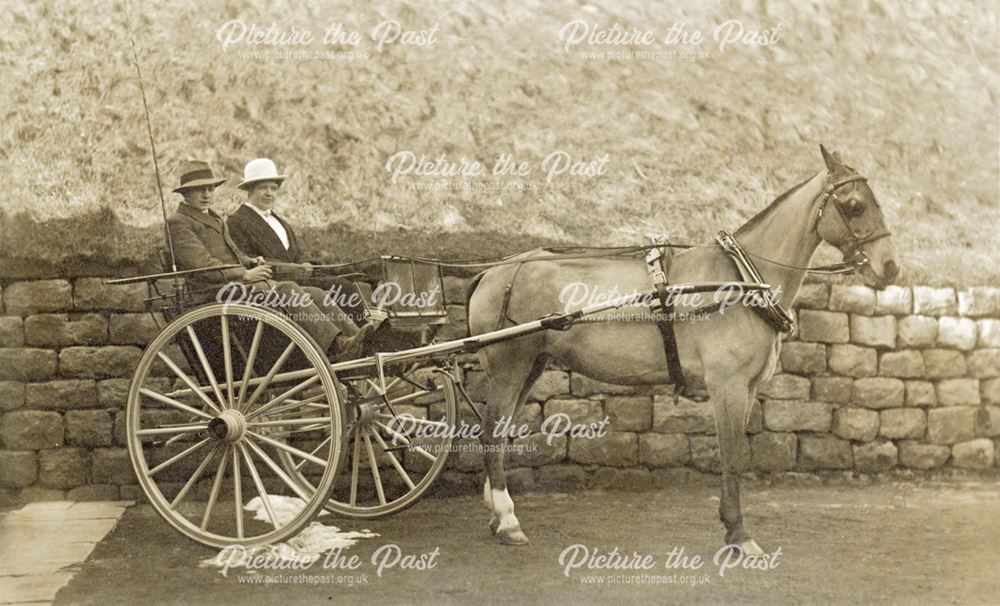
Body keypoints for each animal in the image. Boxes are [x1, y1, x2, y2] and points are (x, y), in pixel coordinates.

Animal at [466, 146, 900, 556]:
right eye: (855, 204)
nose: (890, 268)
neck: (739, 279)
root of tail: (493, 271)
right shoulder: (727, 386)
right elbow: (732, 457)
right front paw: (738, 534)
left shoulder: (747, 389)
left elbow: (736, 454)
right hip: (510, 366)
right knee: (491, 431)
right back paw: (507, 520)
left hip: (532, 365)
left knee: (501, 432)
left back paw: (497, 512)